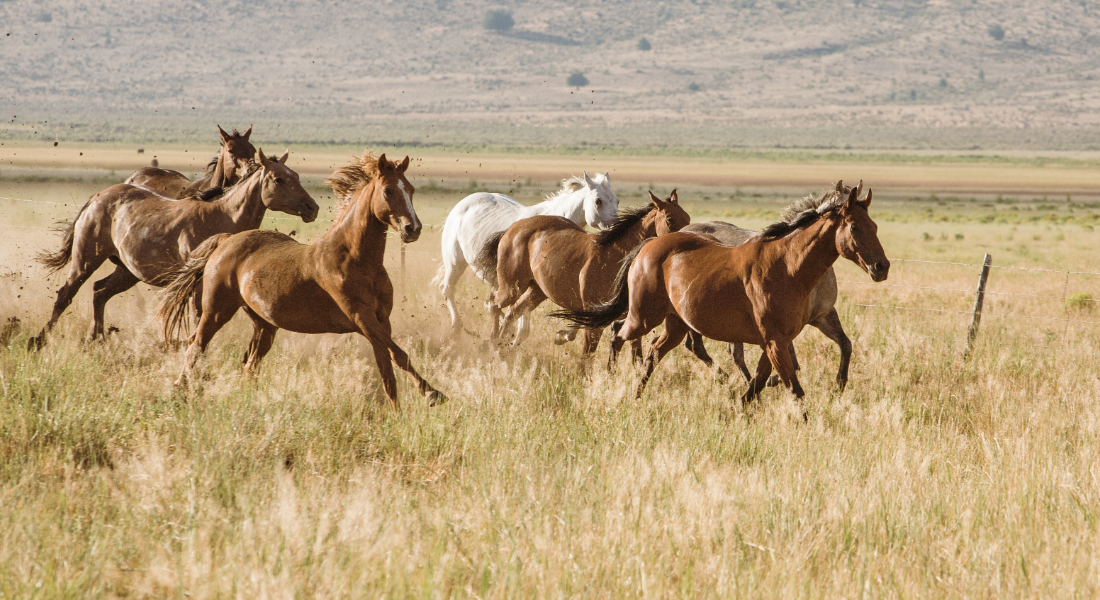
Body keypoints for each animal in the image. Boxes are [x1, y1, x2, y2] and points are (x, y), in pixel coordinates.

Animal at [30, 149, 319, 348]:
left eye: (296, 176)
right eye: (279, 179)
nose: (312, 208)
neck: (222, 216)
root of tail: (98, 197)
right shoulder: (197, 283)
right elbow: (197, 315)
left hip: (127, 271)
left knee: (99, 292)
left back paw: (96, 338)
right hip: (86, 260)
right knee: (66, 294)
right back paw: (40, 340)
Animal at [158, 152, 447, 407]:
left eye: (411, 190)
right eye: (388, 191)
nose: (413, 229)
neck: (358, 260)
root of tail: (226, 240)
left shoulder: (381, 322)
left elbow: (388, 372)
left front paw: (398, 414)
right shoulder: (361, 318)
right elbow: (399, 355)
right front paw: (433, 394)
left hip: (264, 324)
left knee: (249, 363)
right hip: (216, 311)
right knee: (196, 345)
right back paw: (181, 391)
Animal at [433, 172, 620, 333]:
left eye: (617, 201)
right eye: (598, 201)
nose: (617, 227)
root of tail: (462, 204)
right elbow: (523, 328)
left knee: (491, 303)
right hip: (455, 263)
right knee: (447, 289)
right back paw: (457, 327)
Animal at [478, 191, 690, 352]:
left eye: (687, 217)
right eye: (669, 219)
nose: (687, 238)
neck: (616, 257)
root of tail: (513, 228)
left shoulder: (630, 319)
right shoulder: (594, 319)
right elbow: (587, 354)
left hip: (537, 291)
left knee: (512, 311)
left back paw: (503, 349)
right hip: (512, 287)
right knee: (494, 306)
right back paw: (493, 345)